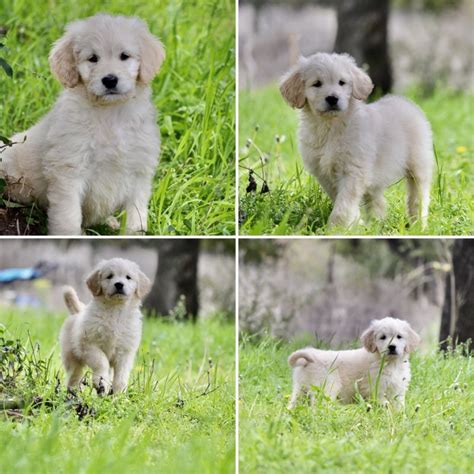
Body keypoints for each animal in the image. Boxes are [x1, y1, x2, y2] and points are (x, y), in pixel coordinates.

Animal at [0, 14, 165, 235]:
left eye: (124, 56)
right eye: (93, 58)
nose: (109, 80)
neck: (110, 113)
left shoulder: (139, 170)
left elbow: (136, 216)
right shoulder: (69, 170)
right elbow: (69, 217)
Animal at [60, 258, 151, 394]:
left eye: (128, 277)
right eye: (109, 276)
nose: (119, 284)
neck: (115, 311)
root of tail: (78, 311)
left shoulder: (125, 352)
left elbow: (121, 375)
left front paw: (118, 393)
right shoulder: (89, 345)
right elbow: (101, 361)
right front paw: (100, 381)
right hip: (71, 356)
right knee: (75, 375)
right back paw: (74, 392)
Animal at [282, 52, 434, 229]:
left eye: (342, 82)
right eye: (317, 84)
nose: (332, 98)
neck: (331, 127)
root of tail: (404, 102)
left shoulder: (353, 170)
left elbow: (344, 203)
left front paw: (336, 229)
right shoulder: (324, 173)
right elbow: (342, 200)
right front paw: (354, 224)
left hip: (418, 165)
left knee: (419, 197)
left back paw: (419, 224)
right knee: (377, 201)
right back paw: (375, 224)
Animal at [286, 318, 420, 412]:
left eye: (399, 336)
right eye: (383, 337)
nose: (392, 347)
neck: (391, 363)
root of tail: (310, 355)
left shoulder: (397, 389)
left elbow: (398, 405)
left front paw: (400, 417)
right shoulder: (376, 388)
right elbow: (384, 404)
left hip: (300, 390)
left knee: (293, 403)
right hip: (326, 388)